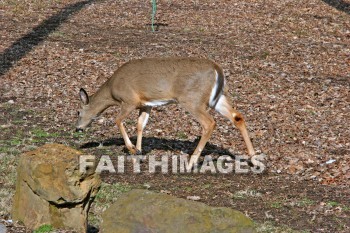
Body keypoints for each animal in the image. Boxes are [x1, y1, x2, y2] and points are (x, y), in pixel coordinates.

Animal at [76, 58, 256, 167]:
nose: (77, 128)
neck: (112, 91)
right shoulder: (146, 104)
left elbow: (118, 120)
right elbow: (140, 125)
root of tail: (217, 69)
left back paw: (191, 162)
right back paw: (254, 159)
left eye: (78, 112)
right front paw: (139, 151)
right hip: (218, 99)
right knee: (238, 117)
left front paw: (132, 148)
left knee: (209, 123)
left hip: (192, 100)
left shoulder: (129, 101)